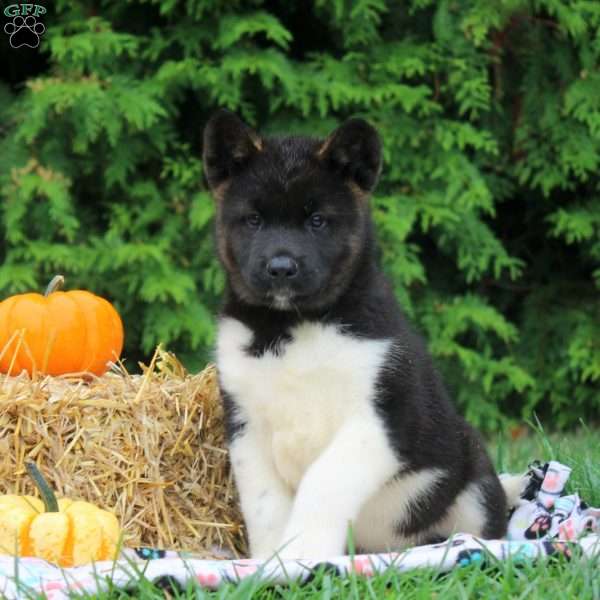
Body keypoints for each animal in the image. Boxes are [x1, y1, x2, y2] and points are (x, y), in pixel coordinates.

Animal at [203, 110, 510, 560]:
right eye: (254, 220)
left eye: (316, 220)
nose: (281, 268)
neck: (292, 326)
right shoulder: (245, 427)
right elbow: (264, 505)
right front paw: (270, 559)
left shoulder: (383, 418)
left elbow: (323, 481)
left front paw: (304, 554)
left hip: (473, 480)